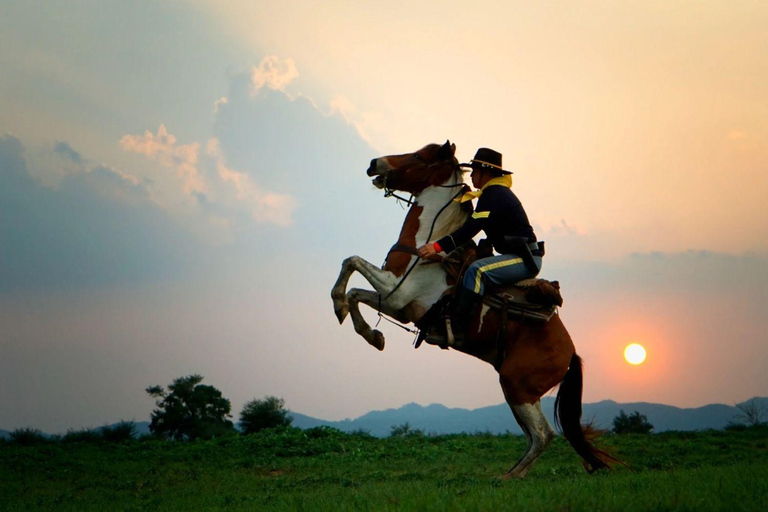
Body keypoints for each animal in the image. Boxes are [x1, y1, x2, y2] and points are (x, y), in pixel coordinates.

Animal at [328, 141, 616, 480]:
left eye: (420, 155)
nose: (375, 163)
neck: (430, 244)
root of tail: (570, 352)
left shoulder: (396, 291)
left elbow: (352, 262)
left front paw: (339, 305)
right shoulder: (400, 306)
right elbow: (356, 292)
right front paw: (371, 334)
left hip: (517, 384)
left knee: (543, 434)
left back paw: (509, 477)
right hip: (515, 390)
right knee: (534, 436)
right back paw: (510, 472)